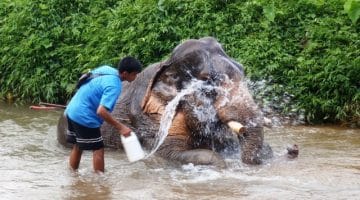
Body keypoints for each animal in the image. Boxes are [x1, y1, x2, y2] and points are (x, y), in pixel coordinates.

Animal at [57, 36, 276, 167]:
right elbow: (169, 151)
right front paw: (222, 164)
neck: (166, 64)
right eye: (208, 81)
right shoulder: (150, 116)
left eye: (242, 69)